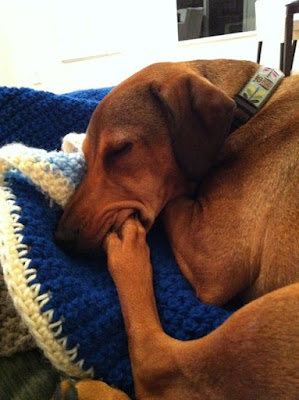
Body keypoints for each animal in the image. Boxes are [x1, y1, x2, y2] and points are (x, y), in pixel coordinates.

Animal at [54, 60, 299, 400]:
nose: (61, 238)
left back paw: (127, 253)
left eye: (121, 149)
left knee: (153, 365)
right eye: (87, 156)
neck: (251, 109)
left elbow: (174, 199)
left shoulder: (214, 259)